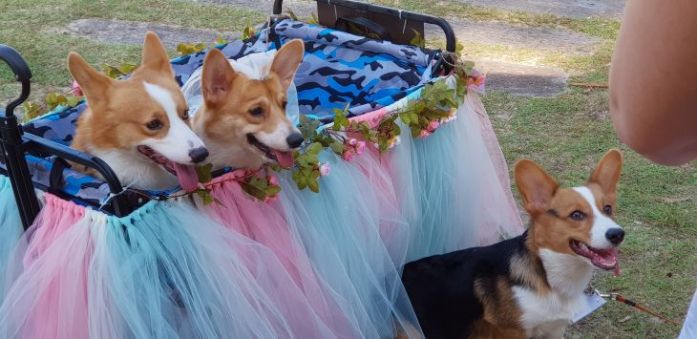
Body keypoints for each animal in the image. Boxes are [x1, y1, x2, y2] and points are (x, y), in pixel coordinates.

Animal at [402, 150, 624, 338]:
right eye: (576, 215)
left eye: (607, 209)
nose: (618, 234)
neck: (549, 279)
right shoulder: (513, 331)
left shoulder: (554, 329)